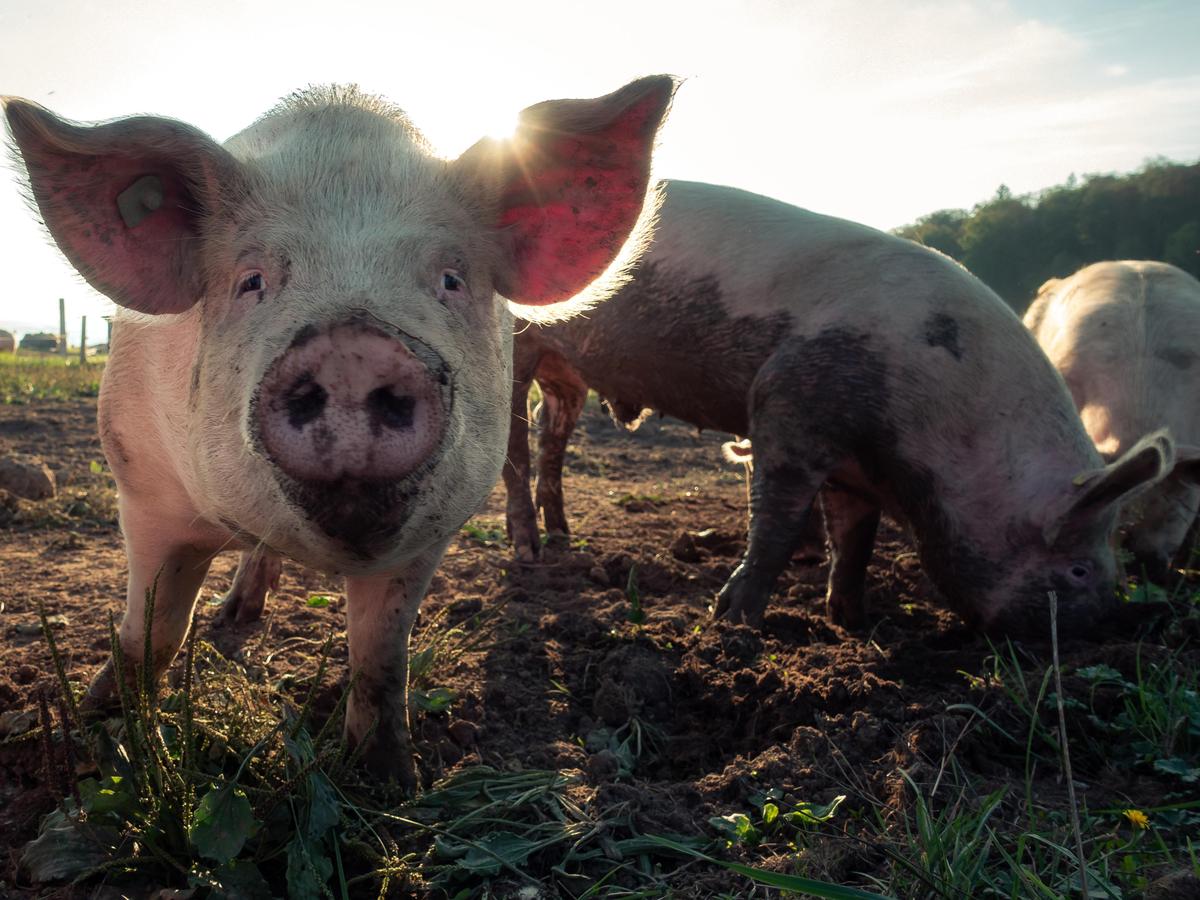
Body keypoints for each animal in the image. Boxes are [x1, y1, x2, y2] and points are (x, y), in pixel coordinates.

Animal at [5, 76, 675, 786]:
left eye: (450, 279)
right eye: (251, 280)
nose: (353, 347)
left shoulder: (432, 532)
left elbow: (380, 658)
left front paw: (389, 781)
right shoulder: (142, 485)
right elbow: (151, 632)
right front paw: (99, 734)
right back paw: (232, 617)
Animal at [494, 180, 1179, 635]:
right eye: (1079, 570)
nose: (1112, 628)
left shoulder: (857, 468)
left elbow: (855, 537)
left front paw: (853, 620)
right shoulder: (788, 405)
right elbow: (776, 520)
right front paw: (731, 623)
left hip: (567, 373)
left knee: (551, 433)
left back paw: (563, 537)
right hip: (517, 348)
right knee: (513, 449)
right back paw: (528, 553)